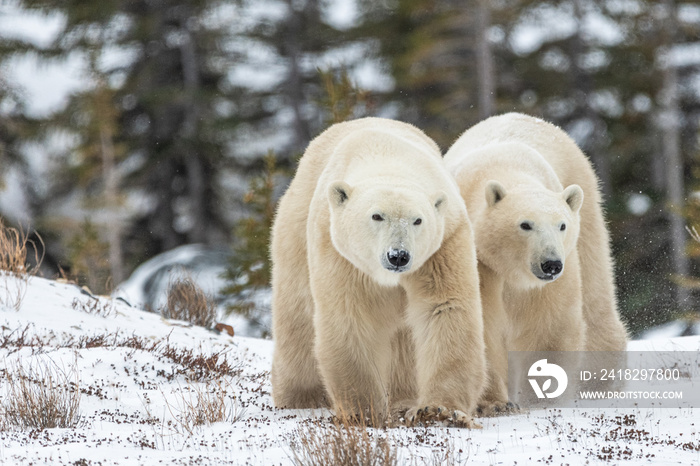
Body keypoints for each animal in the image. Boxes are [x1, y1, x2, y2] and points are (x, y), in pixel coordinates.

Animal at [270, 116, 484, 426]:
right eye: (376, 216)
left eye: (418, 220)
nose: (398, 256)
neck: (388, 158)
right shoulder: (339, 251)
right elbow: (350, 317)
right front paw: (364, 413)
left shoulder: (444, 244)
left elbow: (445, 307)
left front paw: (440, 411)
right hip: (294, 233)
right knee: (296, 317)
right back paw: (298, 398)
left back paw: (403, 401)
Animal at [446, 113, 632, 416]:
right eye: (525, 225)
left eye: (561, 225)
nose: (551, 264)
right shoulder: (479, 263)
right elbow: (482, 328)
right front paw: (494, 403)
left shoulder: (552, 278)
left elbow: (550, 323)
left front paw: (542, 399)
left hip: (586, 206)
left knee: (595, 291)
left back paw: (602, 380)